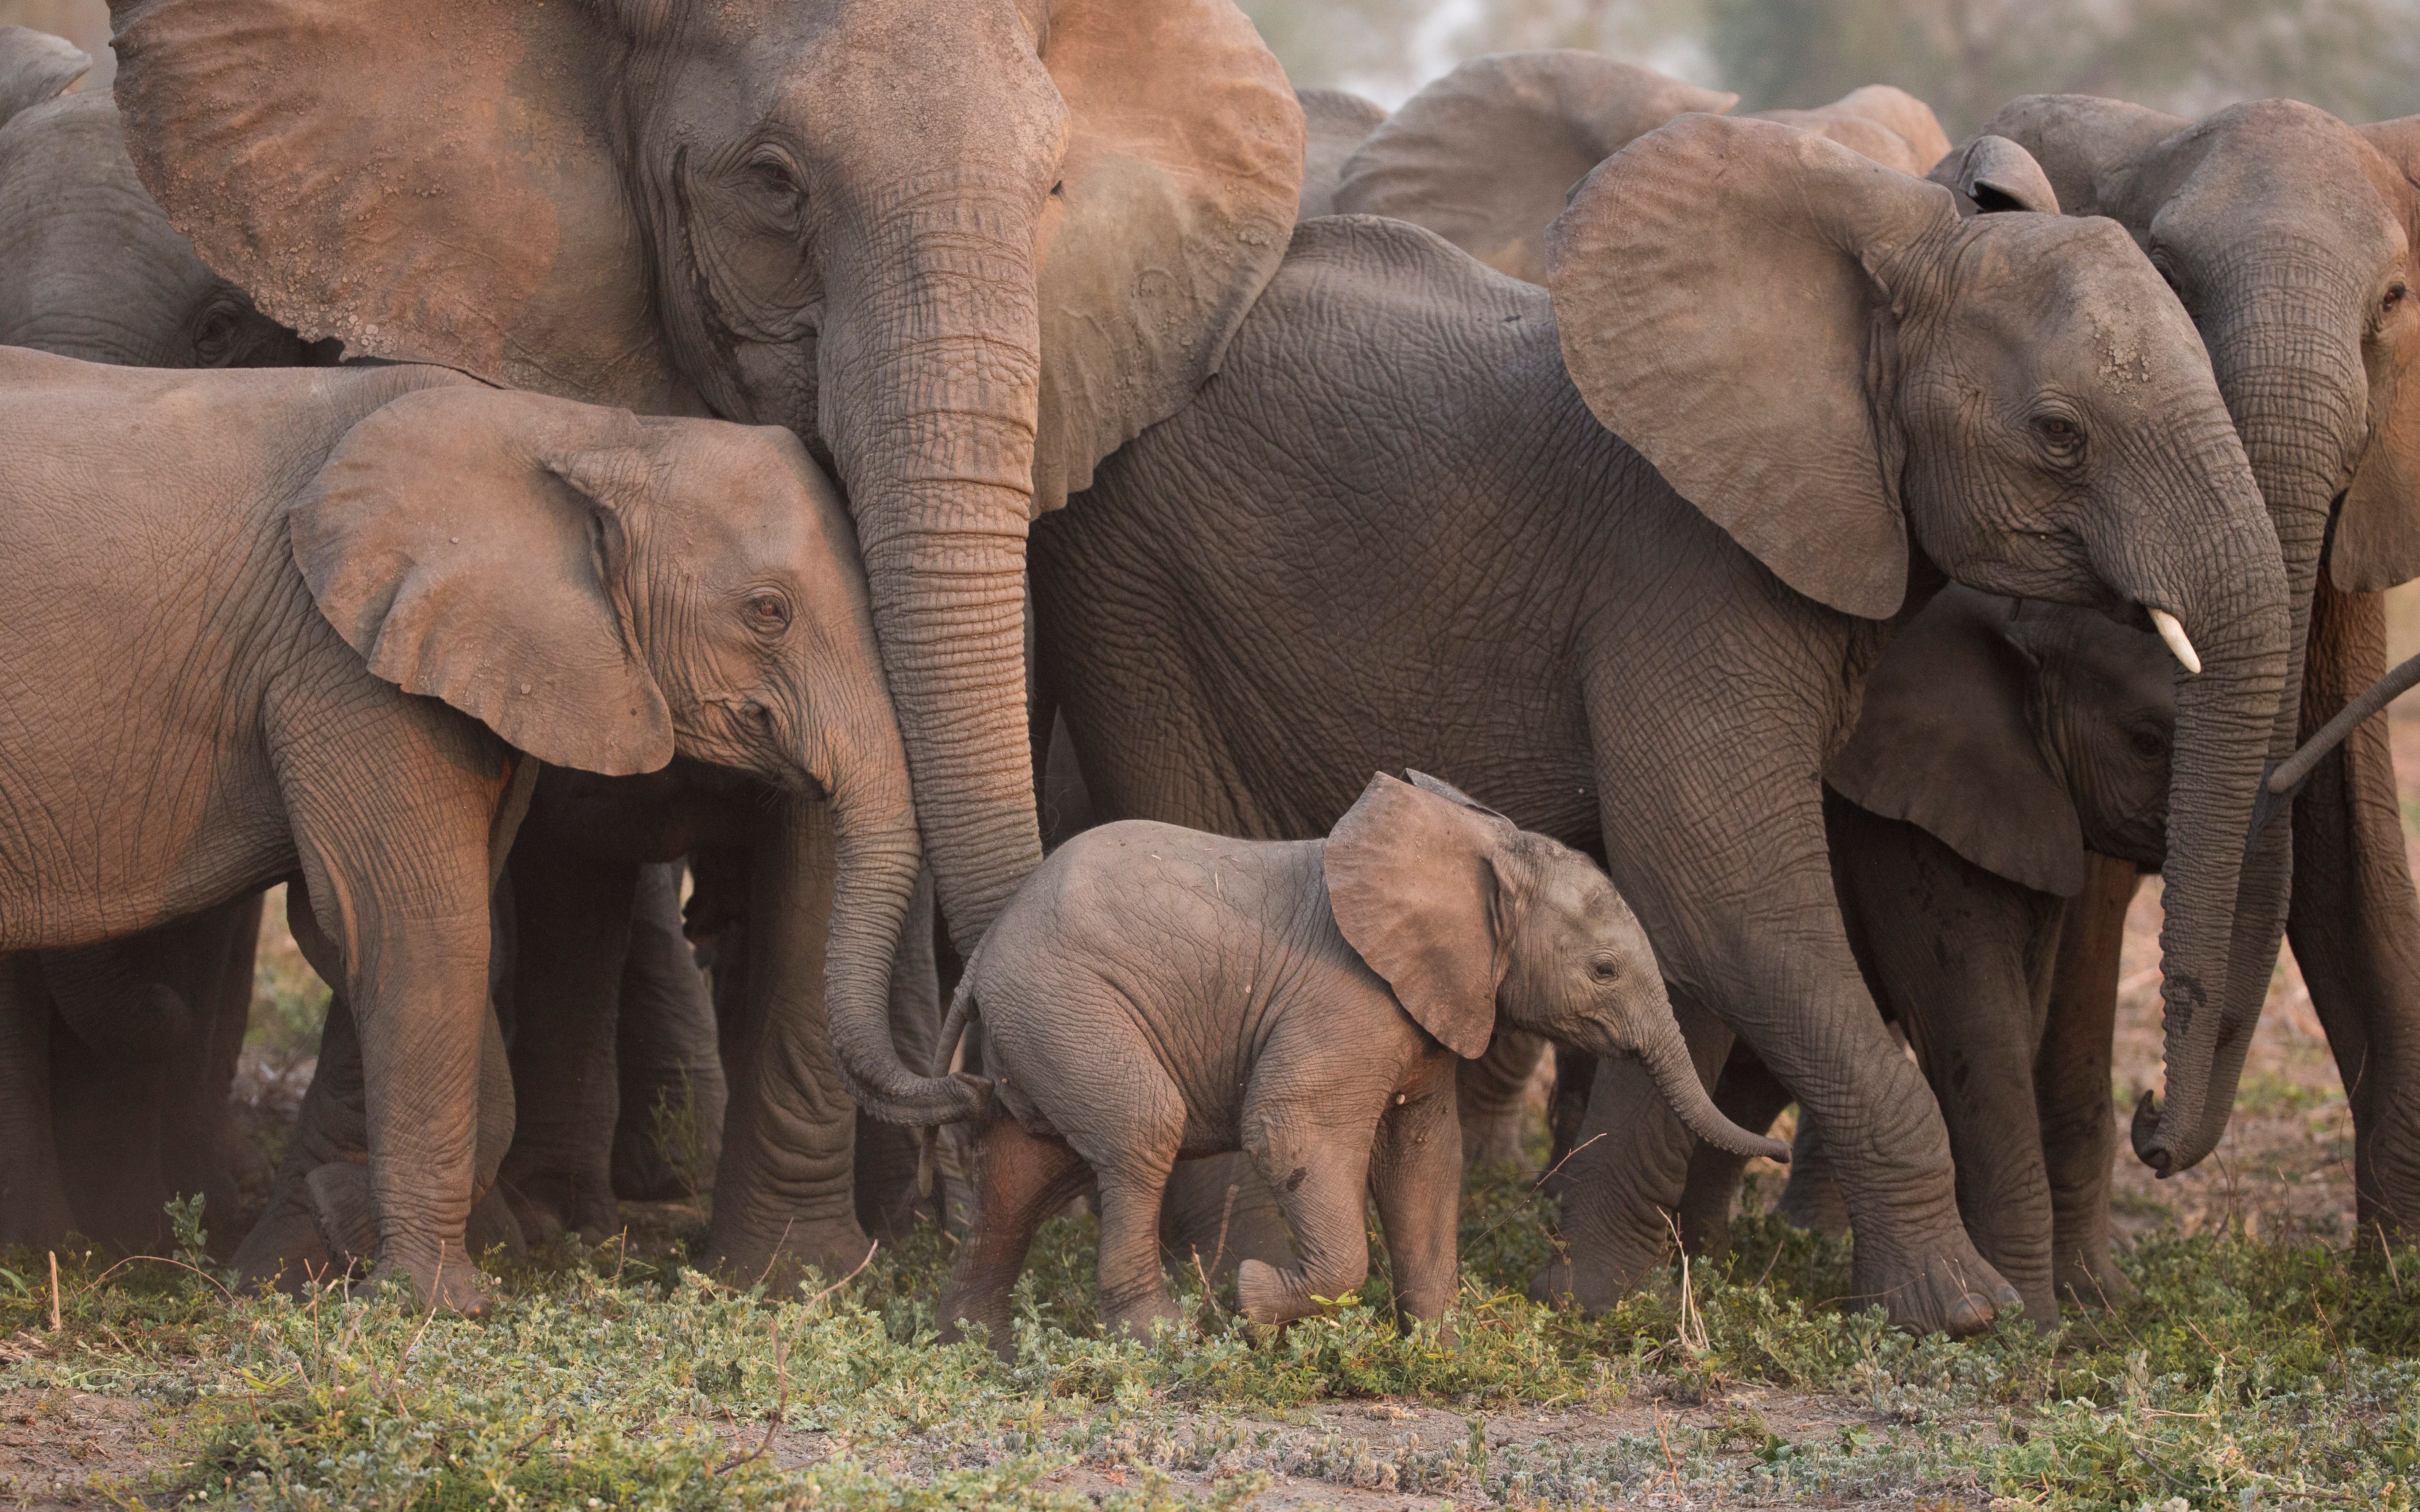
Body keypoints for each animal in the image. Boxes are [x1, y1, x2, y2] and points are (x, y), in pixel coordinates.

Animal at [0, 351, 920, 1312]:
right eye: (768, 611)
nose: (947, 1093)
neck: (587, 430)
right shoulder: (345, 662)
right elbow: (420, 928)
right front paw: (434, 1302)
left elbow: (382, 926)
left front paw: (340, 1227)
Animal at [105, 0, 1305, 1281]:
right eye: (775, 183)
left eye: (1052, 188)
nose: (972, 1113)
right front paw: (299, 1260)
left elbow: (820, 830)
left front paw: (796, 1275)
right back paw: (541, 1222)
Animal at [905, 772, 1783, 1354]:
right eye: (1603, 970)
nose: (1775, 1148)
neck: (1482, 848)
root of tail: (983, 956)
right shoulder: (1347, 999)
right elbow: (1291, 1130)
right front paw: (1255, 1296)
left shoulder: (1426, 1014)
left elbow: (1426, 1158)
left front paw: (1439, 1351)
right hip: (1070, 1005)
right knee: (1138, 1132)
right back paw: (1162, 1338)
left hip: (1046, 1024)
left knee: (1026, 1168)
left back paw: (972, 1343)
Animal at [1026, 114, 2292, 1337]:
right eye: (2059, 431)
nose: (2152, 1120)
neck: (1886, 272)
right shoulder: (1688, 570)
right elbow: (1729, 894)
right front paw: (1960, 1314)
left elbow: (1681, 935)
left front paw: (1591, 1300)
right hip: (1136, 593)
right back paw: (1221, 1266)